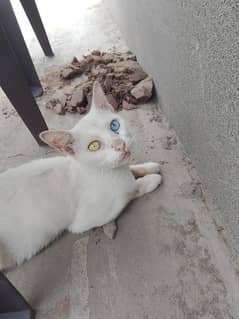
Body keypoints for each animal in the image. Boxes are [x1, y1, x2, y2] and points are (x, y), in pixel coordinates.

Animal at [0, 82, 162, 270]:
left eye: (114, 125)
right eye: (94, 146)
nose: (120, 144)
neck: (105, 172)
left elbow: (132, 170)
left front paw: (149, 167)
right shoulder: (82, 222)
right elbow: (130, 192)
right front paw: (151, 180)